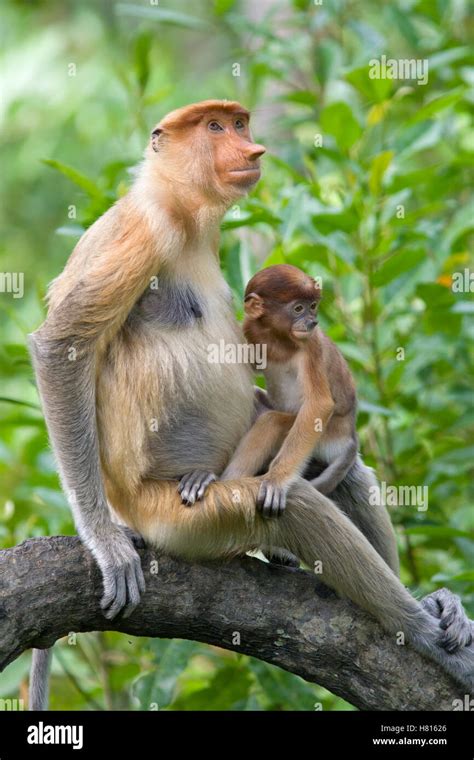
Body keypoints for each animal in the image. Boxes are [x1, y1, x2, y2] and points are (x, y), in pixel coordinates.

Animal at [180, 262, 358, 516]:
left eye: (313, 306)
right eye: (298, 308)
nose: (312, 322)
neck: (277, 336)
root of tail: (350, 434)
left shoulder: (310, 345)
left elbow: (319, 405)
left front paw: (275, 480)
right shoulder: (251, 329)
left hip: (327, 434)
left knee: (272, 421)